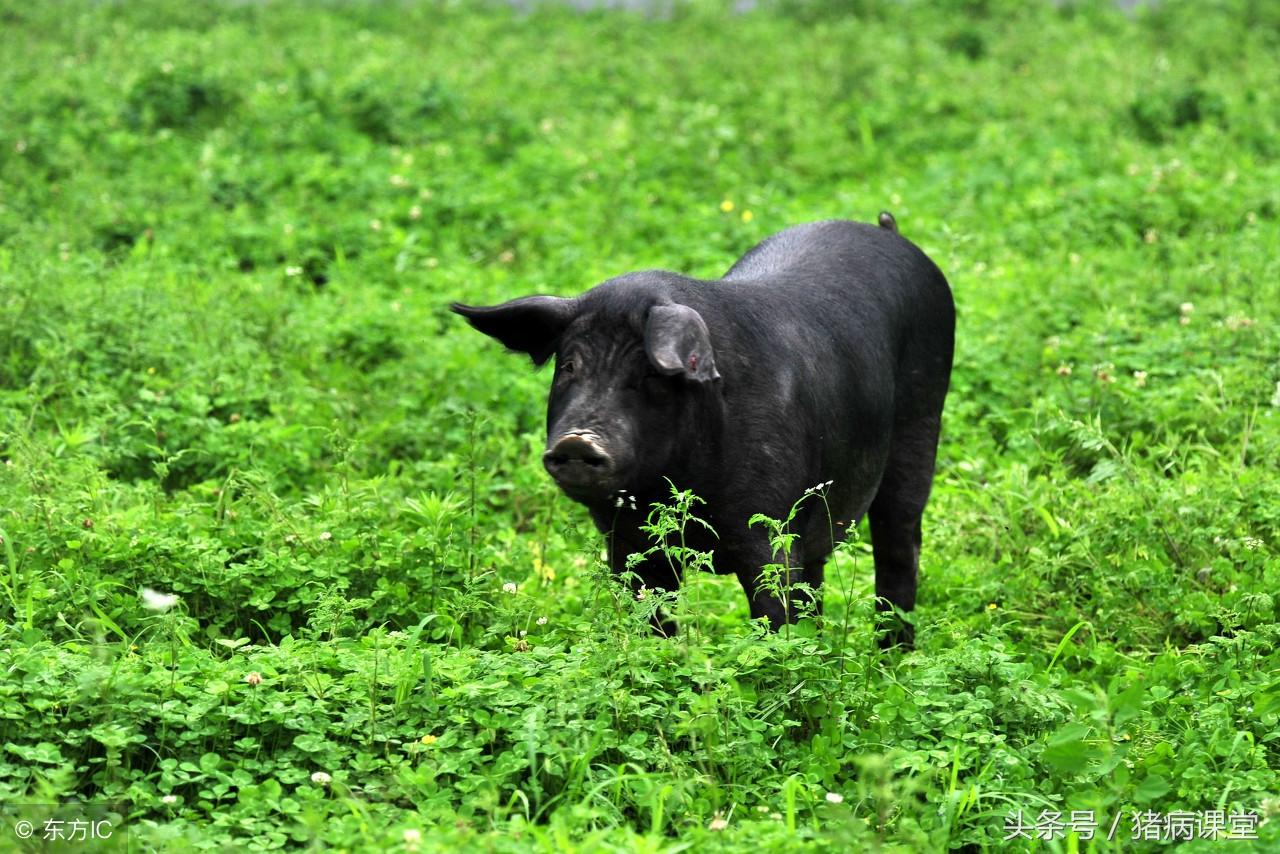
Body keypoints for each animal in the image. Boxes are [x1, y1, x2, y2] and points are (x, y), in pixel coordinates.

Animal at [455, 217, 957, 645]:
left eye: (650, 374)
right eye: (570, 366)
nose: (577, 440)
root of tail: (890, 232)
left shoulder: (768, 531)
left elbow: (773, 618)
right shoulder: (629, 545)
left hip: (921, 423)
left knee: (899, 547)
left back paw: (893, 654)